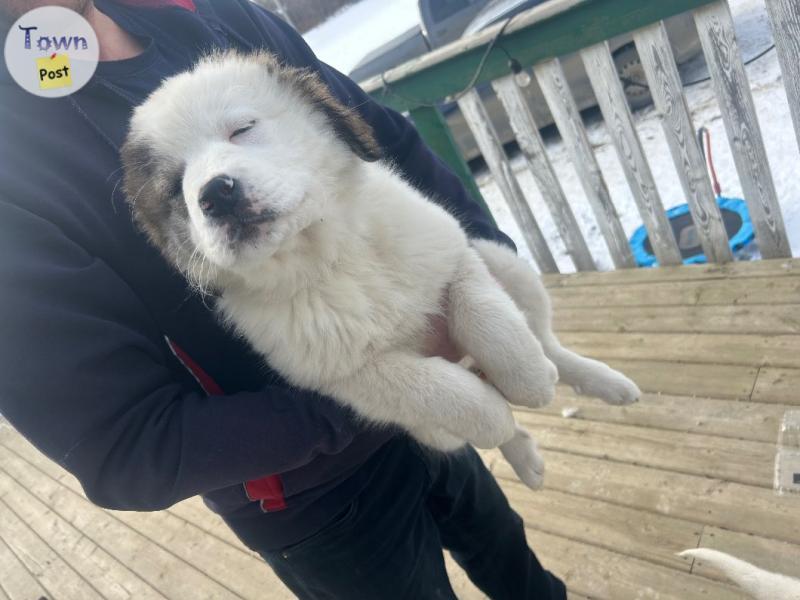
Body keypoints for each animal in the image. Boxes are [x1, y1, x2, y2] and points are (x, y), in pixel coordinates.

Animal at [122, 51, 640, 490]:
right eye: (175, 186)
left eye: (242, 129)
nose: (214, 194)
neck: (330, 257)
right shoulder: (351, 376)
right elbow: (448, 395)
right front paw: (495, 416)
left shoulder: (454, 257)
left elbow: (492, 326)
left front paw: (531, 380)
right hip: (431, 430)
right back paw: (526, 455)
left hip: (502, 260)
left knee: (544, 337)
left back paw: (603, 382)